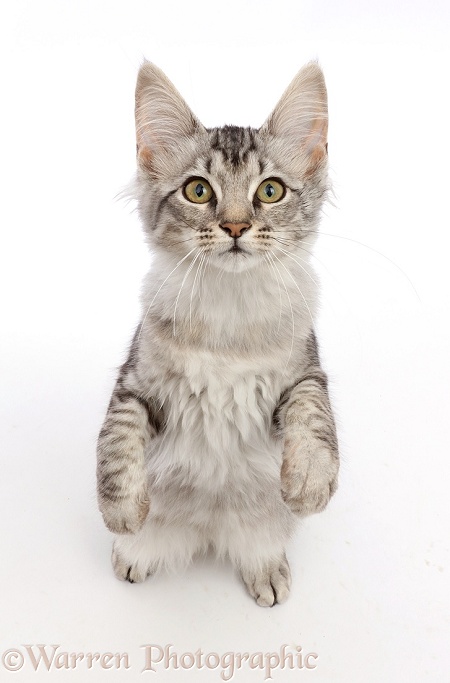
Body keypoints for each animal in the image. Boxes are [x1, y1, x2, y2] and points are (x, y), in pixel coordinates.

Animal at [96, 61, 340, 608]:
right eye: (198, 191)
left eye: (270, 191)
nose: (234, 227)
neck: (229, 317)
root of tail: (207, 530)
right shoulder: (136, 383)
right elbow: (115, 444)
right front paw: (122, 511)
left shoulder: (305, 372)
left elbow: (315, 419)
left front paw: (311, 484)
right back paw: (132, 555)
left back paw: (267, 573)